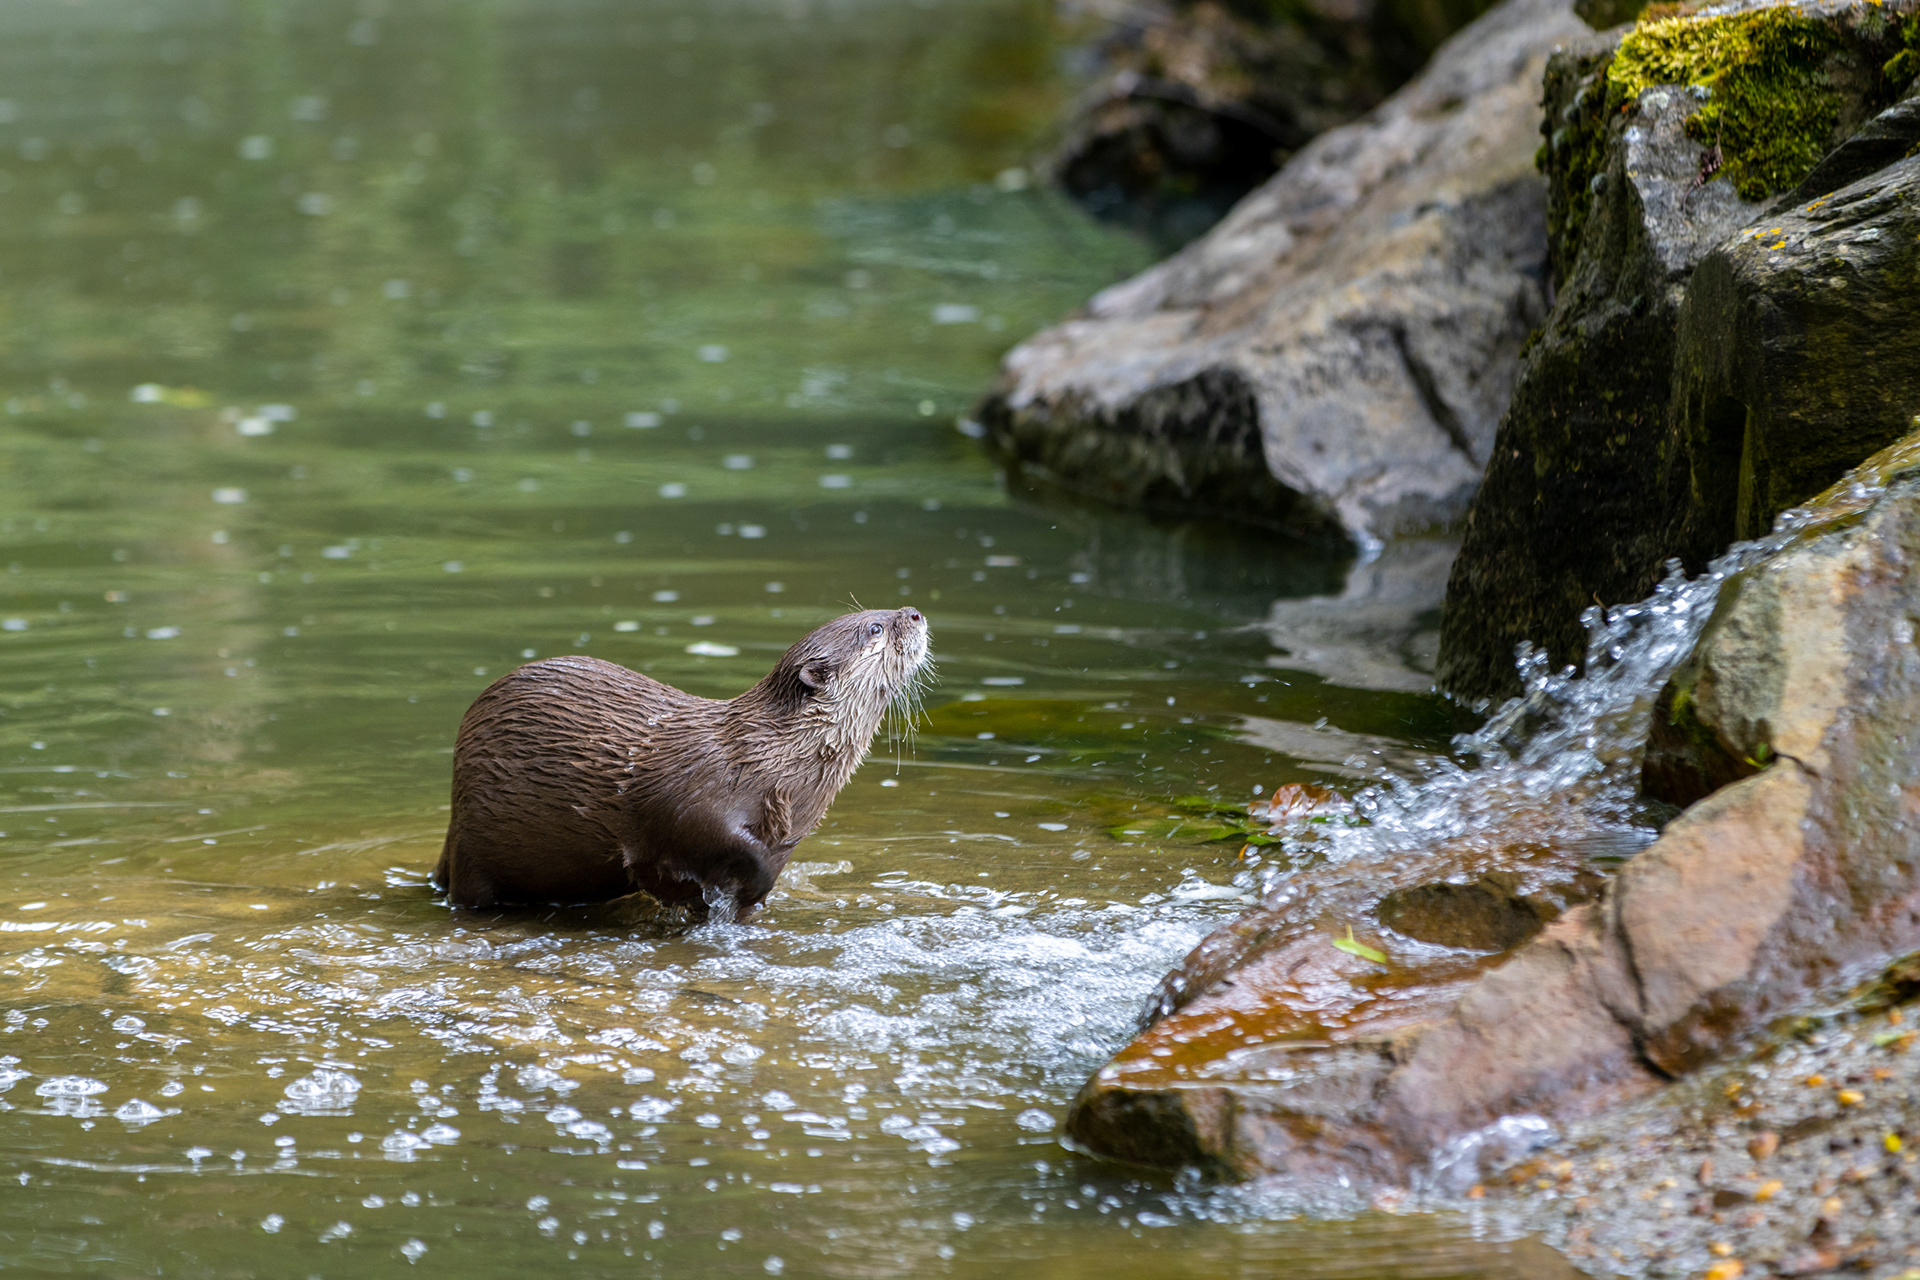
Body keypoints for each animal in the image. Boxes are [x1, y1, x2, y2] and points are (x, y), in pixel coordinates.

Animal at [433, 606, 930, 915]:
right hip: (476, 848)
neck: (769, 763)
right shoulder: (696, 796)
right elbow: (715, 844)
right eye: (875, 627)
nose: (914, 613)